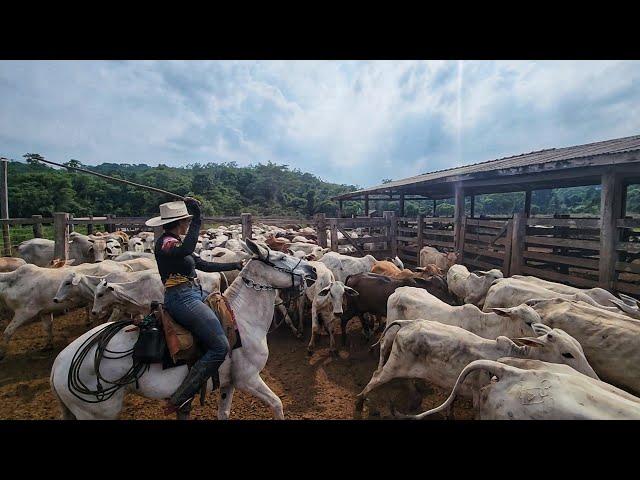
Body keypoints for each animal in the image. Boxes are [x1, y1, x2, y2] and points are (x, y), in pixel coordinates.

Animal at [50, 240, 318, 420]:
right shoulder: (248, 379)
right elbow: (277, 404)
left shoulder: (229, 383)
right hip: (99, 412)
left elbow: (224, 413)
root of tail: (58, 367)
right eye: (280, 258)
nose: (313, 270)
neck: (242, 320)